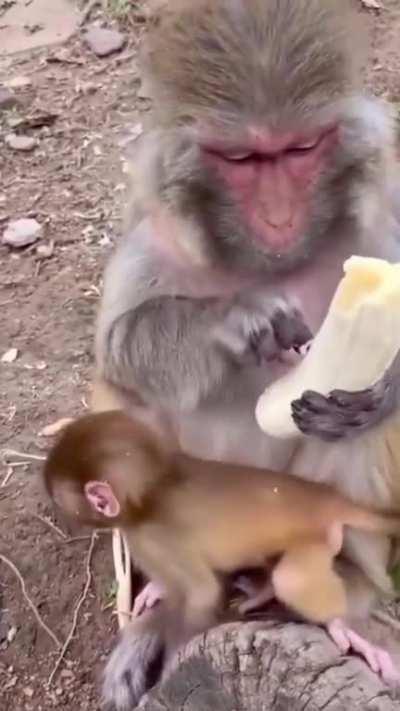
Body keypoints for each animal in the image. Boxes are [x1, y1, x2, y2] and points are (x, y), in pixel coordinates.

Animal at [93, 1, 400, 706]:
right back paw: (168, 602)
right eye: (242, 159)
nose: (279, 214)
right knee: (128, 401)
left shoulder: (386, 214)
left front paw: (388, 384)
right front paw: (236, 320)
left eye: (300, 150)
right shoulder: (155, 230)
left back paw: (344, 590)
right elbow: (117, 348)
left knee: (361, 437)